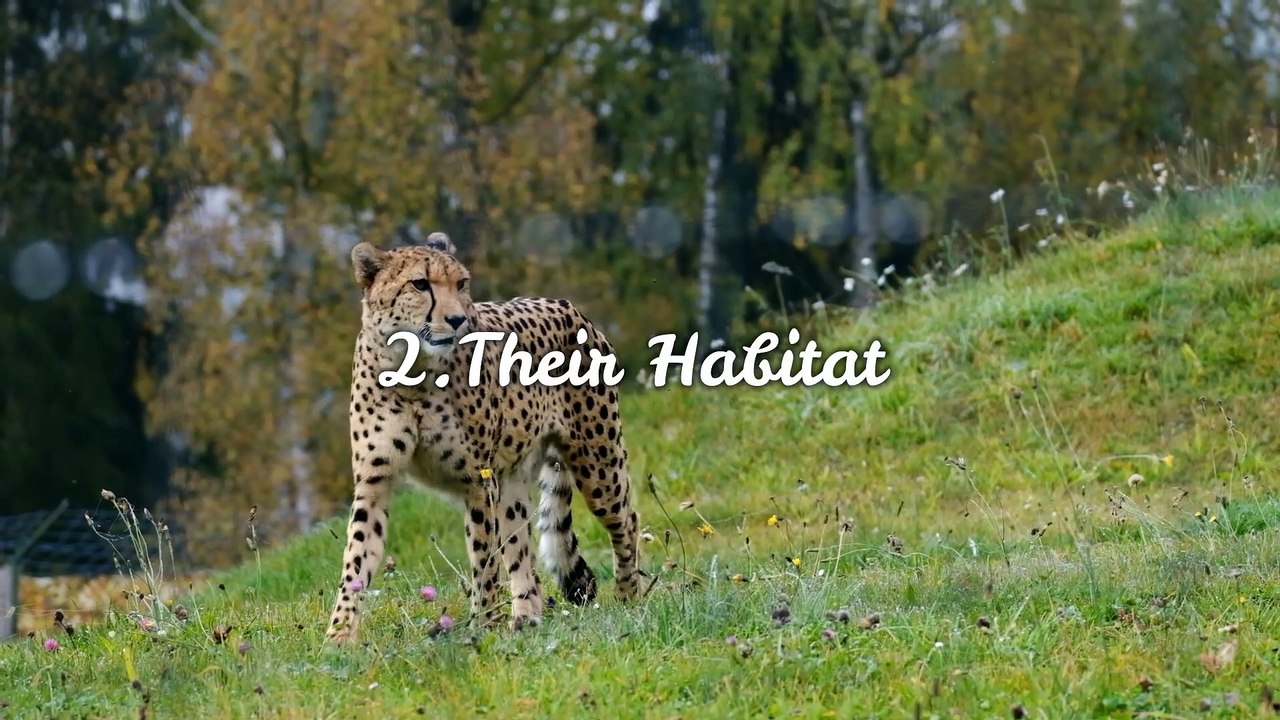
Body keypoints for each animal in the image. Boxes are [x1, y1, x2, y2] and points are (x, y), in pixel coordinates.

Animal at [325, 231, 641, 643]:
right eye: (420, 284)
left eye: (461, 284)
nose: (457, 319)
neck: (411, 373)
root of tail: (566, 305)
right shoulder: (374, 480)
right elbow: (356, 560)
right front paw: (339, 636)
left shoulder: (478, 481)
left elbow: (484, 559)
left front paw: (484, 627)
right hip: (513, 487)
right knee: (523, 555)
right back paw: (526, 618)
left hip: (598, 464)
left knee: (627, 520)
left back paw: (629, 596)